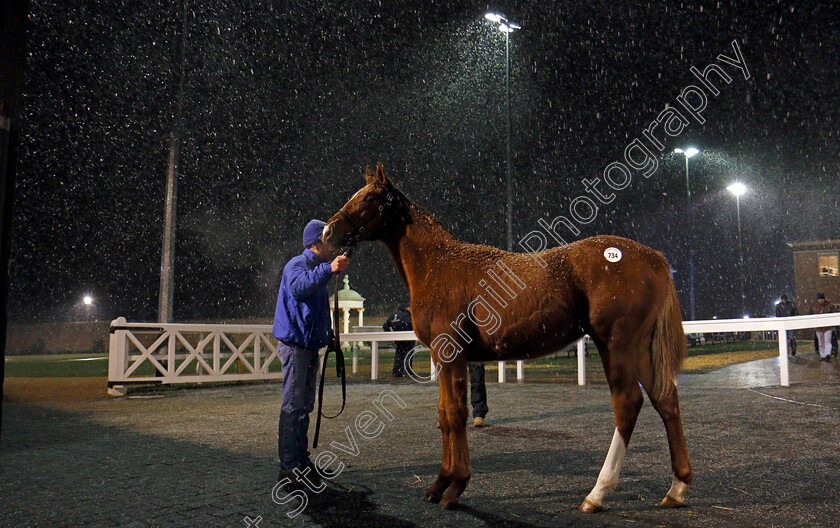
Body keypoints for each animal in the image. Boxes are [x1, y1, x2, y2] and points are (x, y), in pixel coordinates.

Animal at [322, 164, 688, 512]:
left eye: (370, 198)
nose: (328, 231)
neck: (438, 265)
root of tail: (653, 257)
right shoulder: (442, 358)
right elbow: (443, 416)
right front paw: (438, 484)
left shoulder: (451, 354)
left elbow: (455, 414)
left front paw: (455, 488)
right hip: (640, 349)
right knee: (665, 399)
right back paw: (676, 488)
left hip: (616, 345)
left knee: (628, 403)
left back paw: (597, 494)